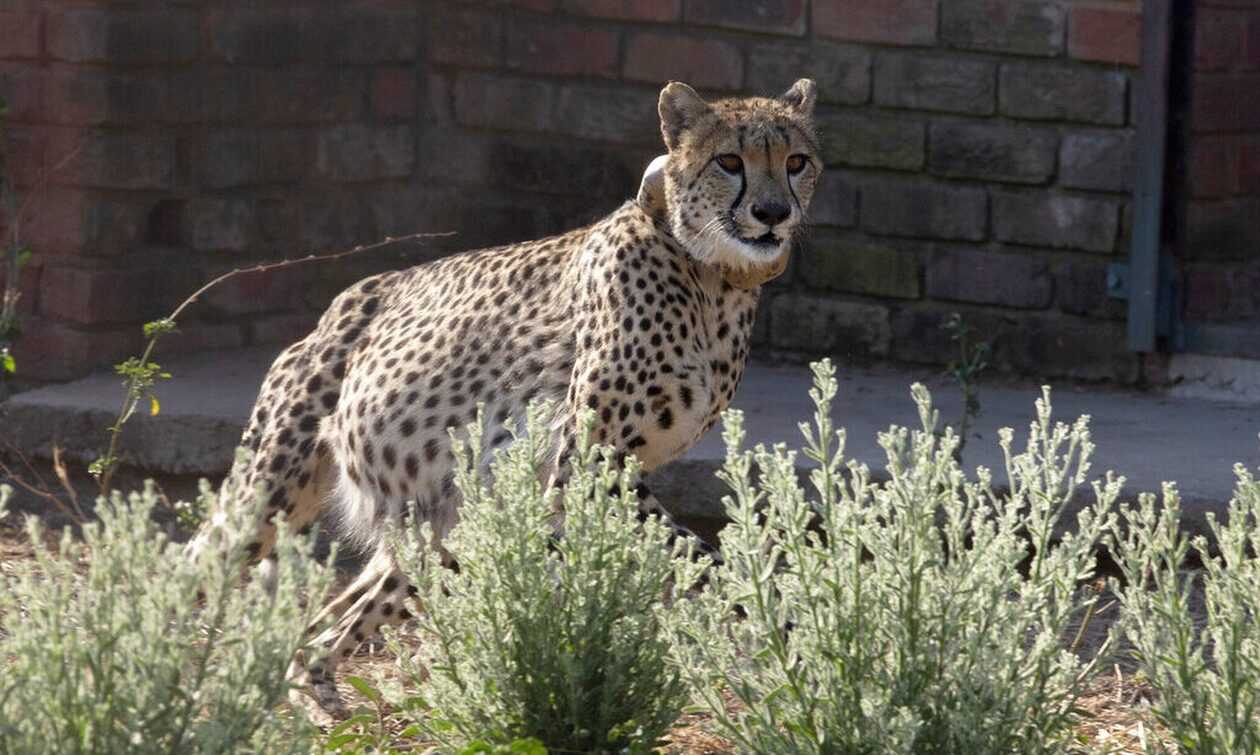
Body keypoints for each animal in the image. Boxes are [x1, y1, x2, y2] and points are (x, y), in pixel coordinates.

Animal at [189, 78, 822, 721]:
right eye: (730, 162)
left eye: (796, 162)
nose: (773, 213)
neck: (714, 279)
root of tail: (335, 308)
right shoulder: (586, 467)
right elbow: (694, 552)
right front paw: (778, 621)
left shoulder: (608, 471)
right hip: (267, 495)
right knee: (197, 563)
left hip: (443, 522)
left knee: (333, 622)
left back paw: (316, 697)